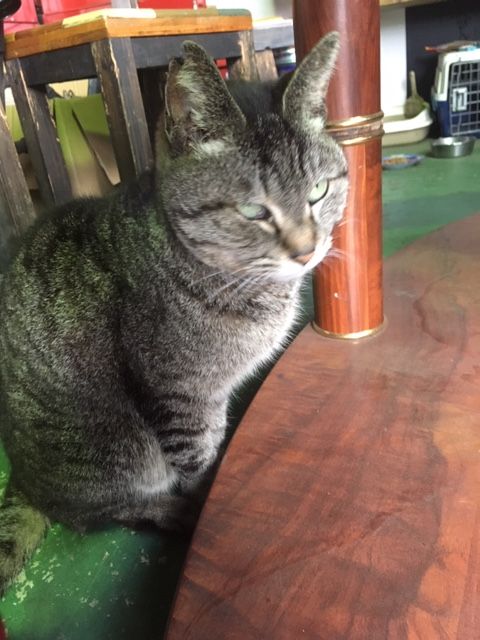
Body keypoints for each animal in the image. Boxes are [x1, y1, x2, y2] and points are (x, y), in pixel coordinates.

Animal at [0, 32, 348, 593]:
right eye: (253, 211)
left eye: (318, 191)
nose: (306, 251)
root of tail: (22, 477)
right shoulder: (180, 397)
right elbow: (199, 463)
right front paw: (208, 507)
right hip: (118, 449)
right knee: (101, 512)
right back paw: (172, 514)